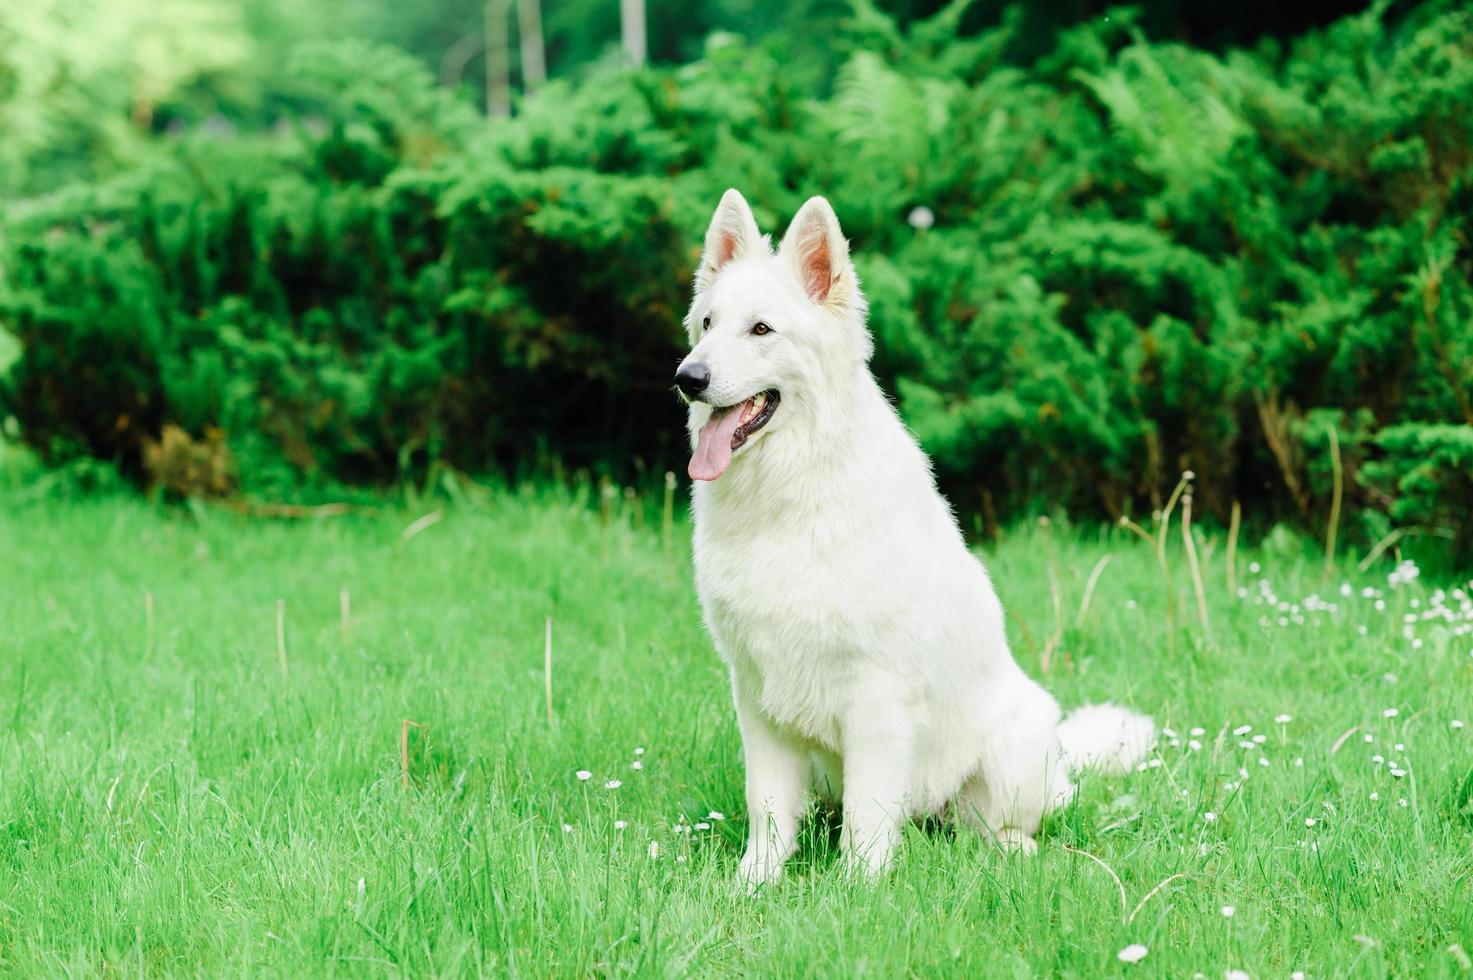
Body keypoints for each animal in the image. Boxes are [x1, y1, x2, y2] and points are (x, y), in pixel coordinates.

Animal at [674, 187, 1154, 884]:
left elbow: (868, 817)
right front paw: (752, 885)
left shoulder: (875, 698)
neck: (793, 493)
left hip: (1014, 748)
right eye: (707, 324)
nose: (688, 378)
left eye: (761, 330)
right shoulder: (757, 694)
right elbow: (768, 809)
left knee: (993, 825)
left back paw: (1012, 848)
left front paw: (857, 889)